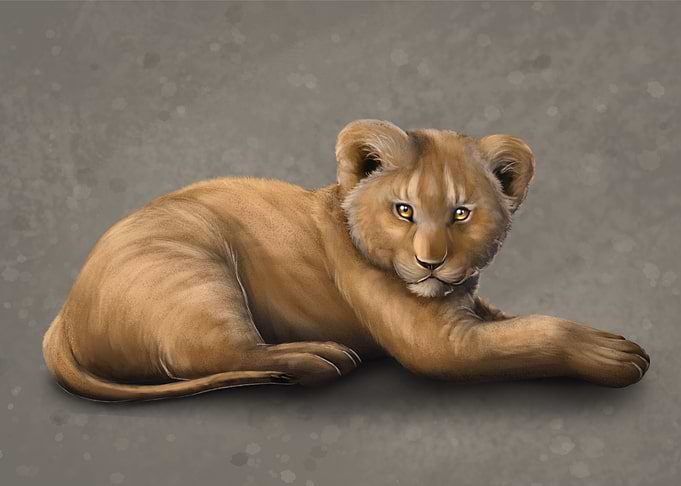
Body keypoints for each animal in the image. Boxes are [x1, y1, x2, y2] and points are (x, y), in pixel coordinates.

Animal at [42, 119, 650, 401]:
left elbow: (511, 318)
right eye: (404, 210)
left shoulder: (467, 305)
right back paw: (322, 358)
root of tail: (63, 316)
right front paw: (613, 353)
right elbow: (535, 334)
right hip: (196, 267)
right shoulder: (440, 344)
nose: (431, 264)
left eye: (461, 214)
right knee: (225, 355)